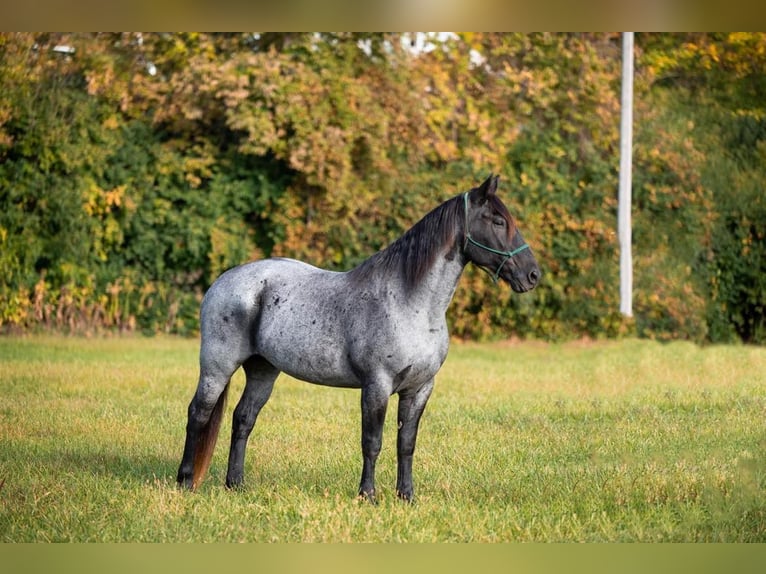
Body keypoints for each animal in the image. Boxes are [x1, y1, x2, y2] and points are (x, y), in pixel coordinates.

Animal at [177, 176, 544, 504]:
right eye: (497, 220)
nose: (533, 275)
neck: (412, 303)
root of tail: (224, 280)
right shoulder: (376, 385)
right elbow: (373, 442)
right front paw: (368, 495)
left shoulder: (420, 388)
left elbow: (406, 443)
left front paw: (406, 496)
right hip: (217, 367)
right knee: (198, 414)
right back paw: (184, 481)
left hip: (263, 369)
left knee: (243, 419)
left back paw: (235, 484)